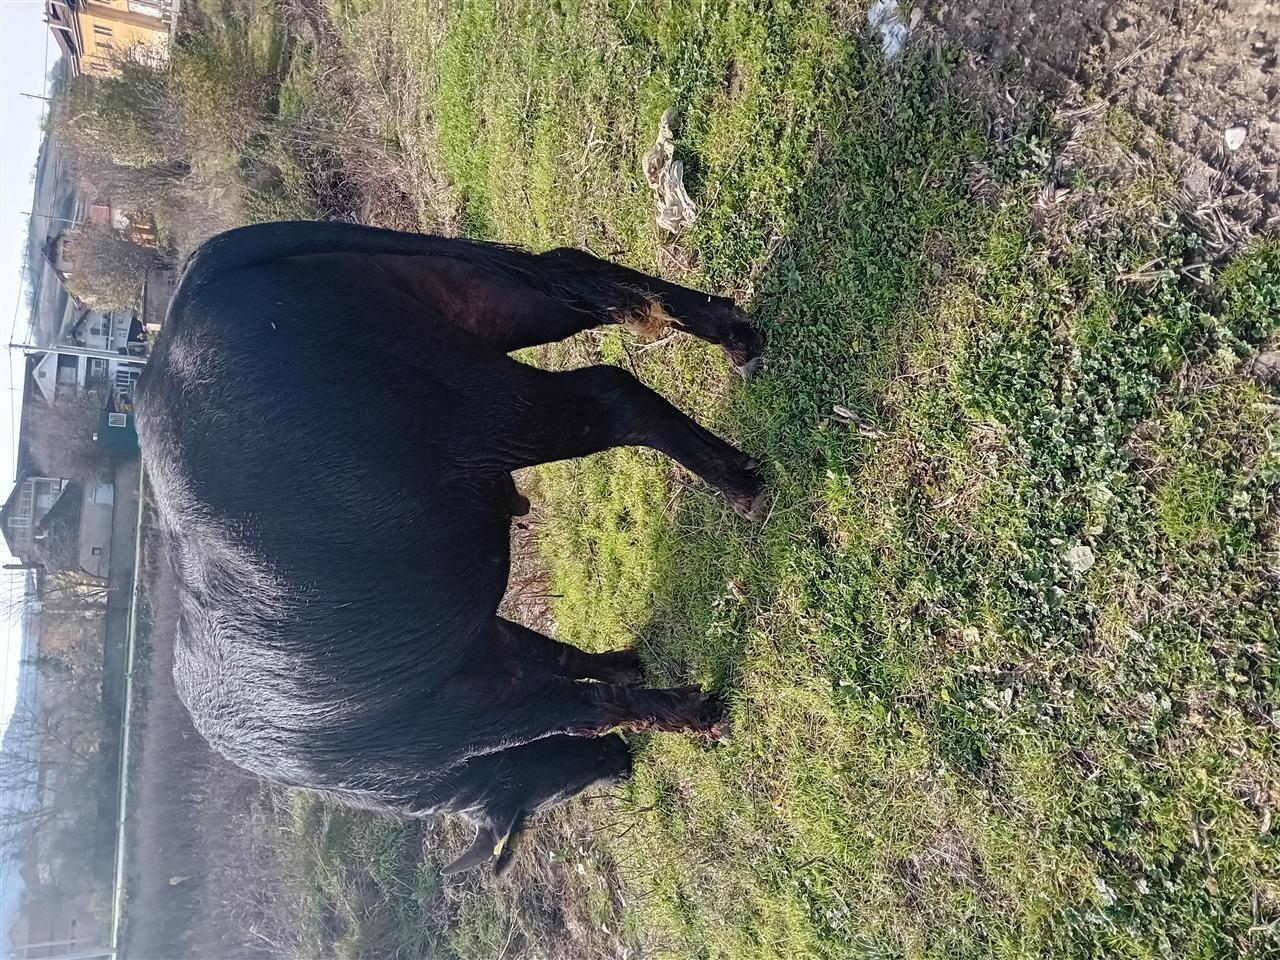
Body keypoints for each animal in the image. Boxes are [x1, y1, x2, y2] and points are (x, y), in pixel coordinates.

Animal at [135, 221, 765, 876]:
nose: (618, 765)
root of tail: (182, 313)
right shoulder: (482, 648)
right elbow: (564, 660)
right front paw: (626, 662)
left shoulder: (479, 710)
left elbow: (592, 706)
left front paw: (700, 715)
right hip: (467, 300)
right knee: (581, 279)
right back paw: (739, 338)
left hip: (485, 408)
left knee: (610, 392)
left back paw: (744, 487)